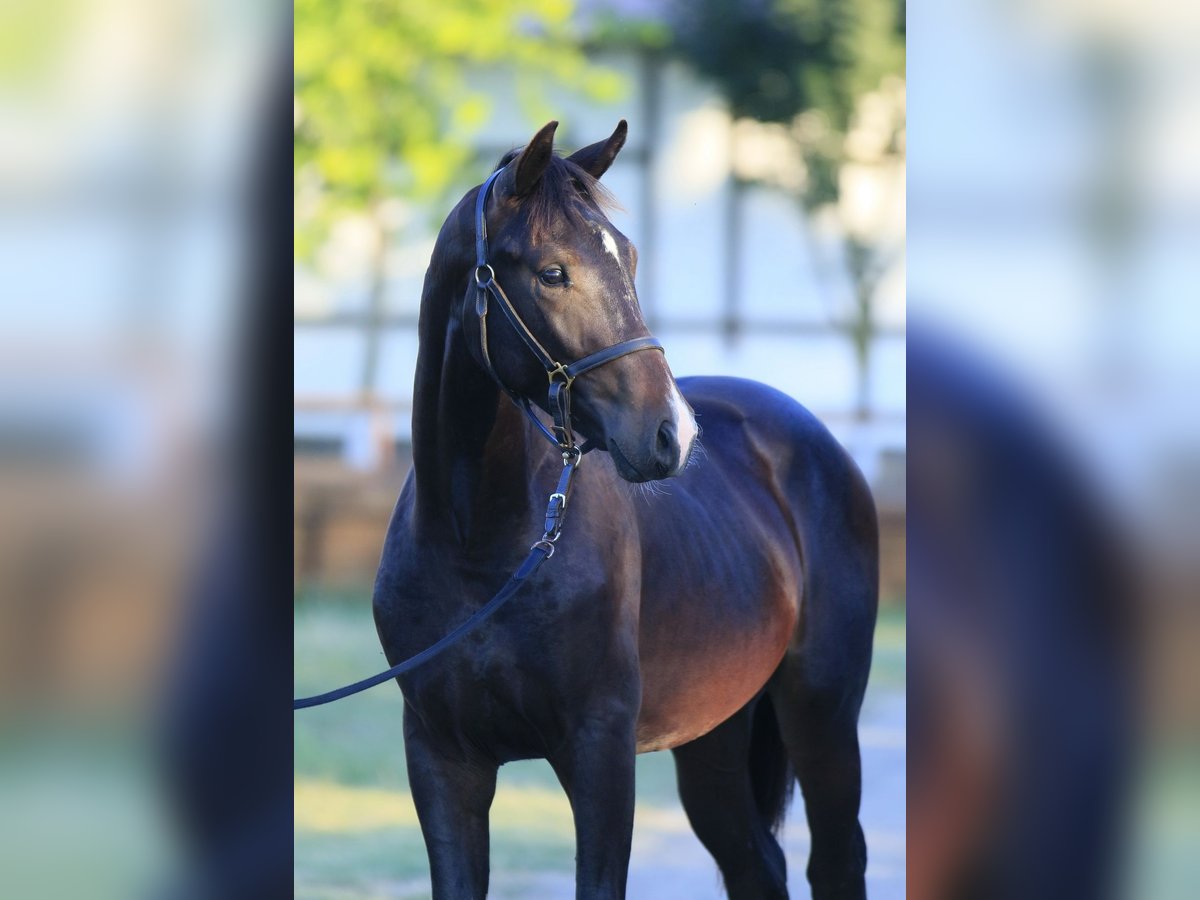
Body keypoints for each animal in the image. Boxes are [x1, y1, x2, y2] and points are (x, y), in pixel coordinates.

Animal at [369, 121, 878, 900]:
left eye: (629, 257)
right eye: (552, 272)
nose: (673, 433)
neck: (479, 545)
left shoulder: (600, 750)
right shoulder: (441, 758)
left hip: (821, 713)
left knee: (835, 860)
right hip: (713, 737)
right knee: (756, 864)